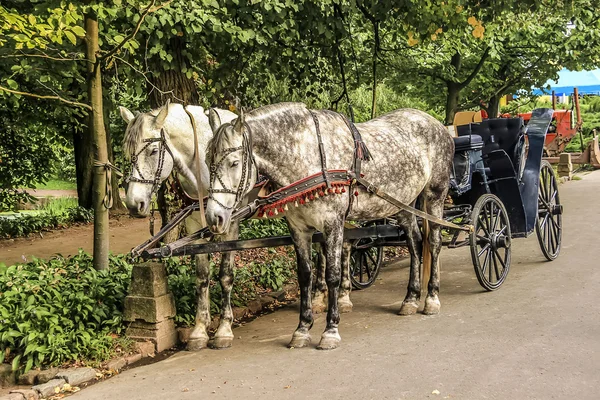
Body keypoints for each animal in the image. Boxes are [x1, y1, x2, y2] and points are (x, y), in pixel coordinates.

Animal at [117, 101, 239, 350]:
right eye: (128, 153)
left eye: (154, 151)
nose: (133, 204)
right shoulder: (195, 225)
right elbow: (202, 277)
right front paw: (200, 329)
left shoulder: (230, 225)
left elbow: (225, 276)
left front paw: (224, 329)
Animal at [204, 103, 452, 350]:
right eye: (208, 162)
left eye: (234, 163)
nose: (214, 217)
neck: (307, 156)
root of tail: (437, 125)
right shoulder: (299, 229)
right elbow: (305, 275)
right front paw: (302, 329)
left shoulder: (333, 223)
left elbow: (332, 274)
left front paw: (330, 330)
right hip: (404, 204)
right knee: (415, 243)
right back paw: (411, 298)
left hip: (435, 195)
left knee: (434, 242)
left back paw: (431, 298)